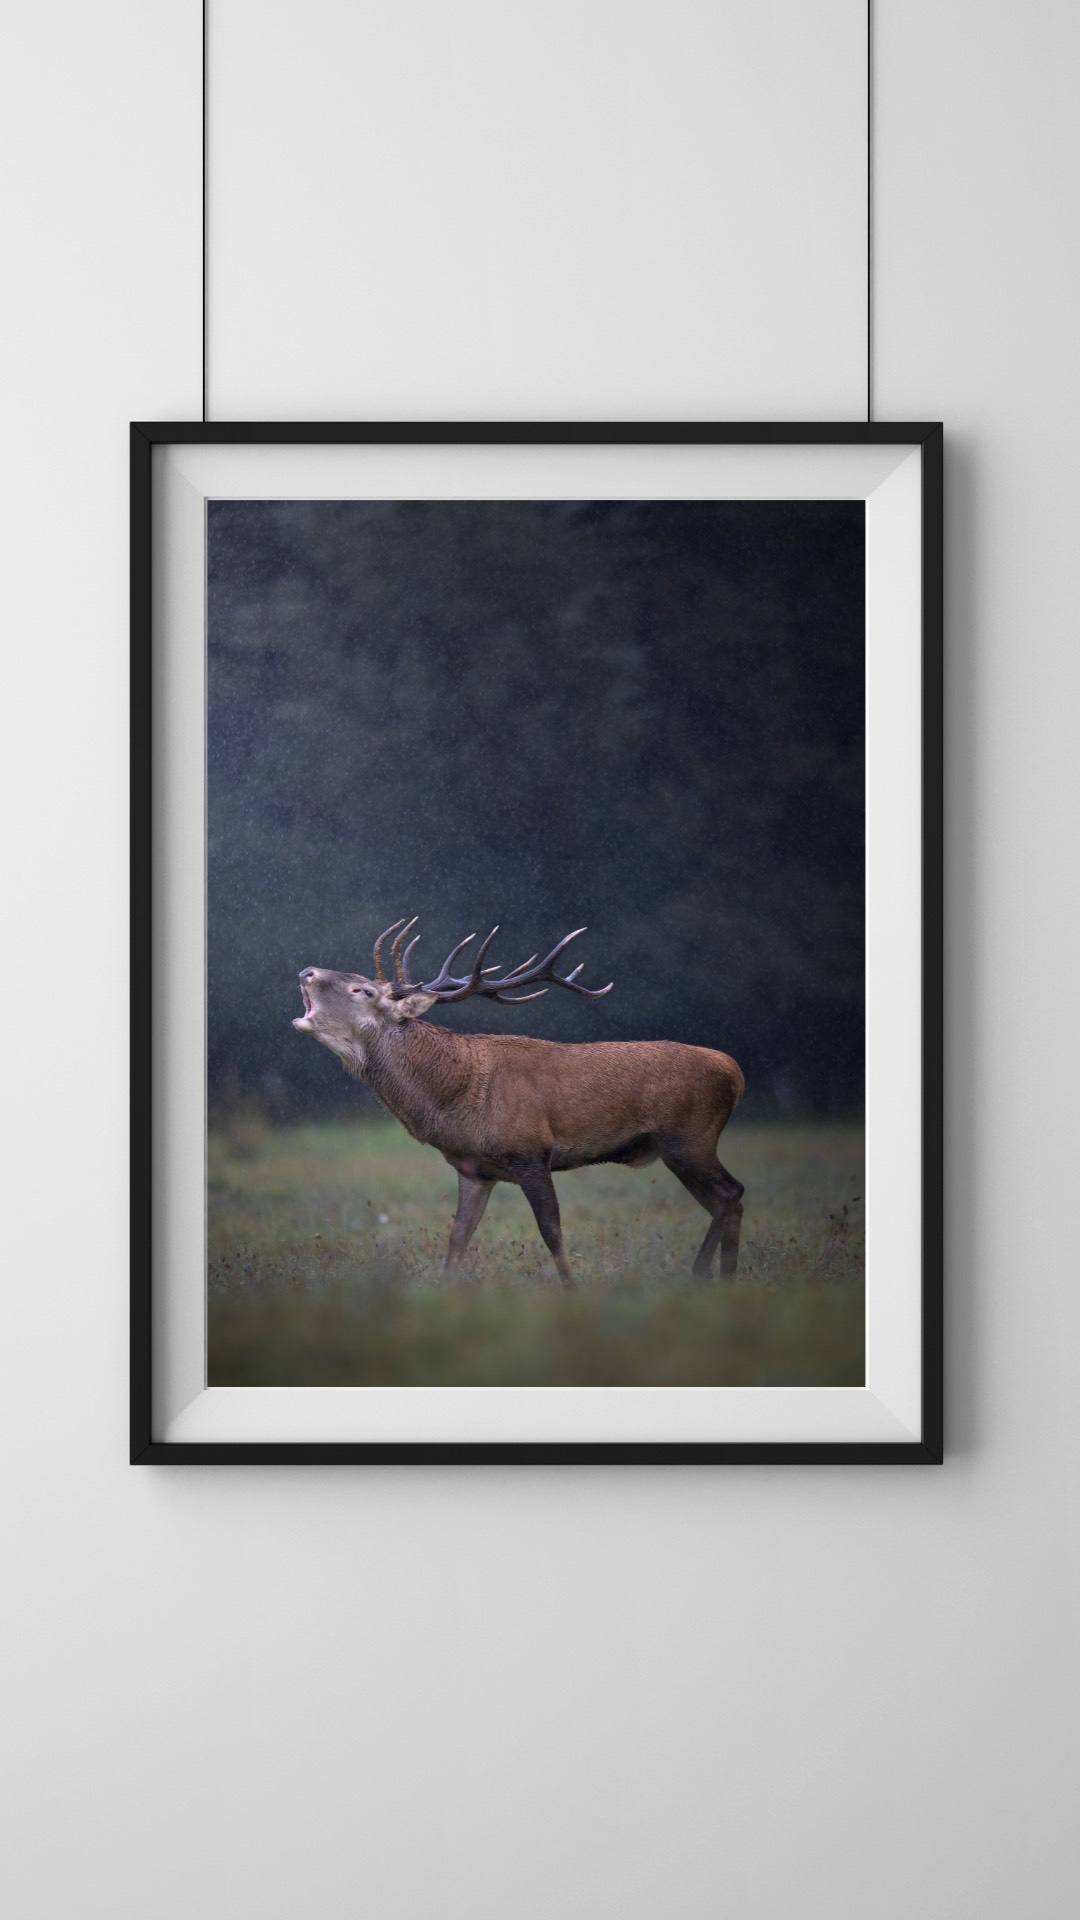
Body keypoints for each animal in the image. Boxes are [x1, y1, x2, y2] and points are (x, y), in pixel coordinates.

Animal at [292, 918, 746, 1287]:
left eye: (362, 989)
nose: (306, 971)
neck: (455, 1097)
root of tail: (733, 1070)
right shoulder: (473, 1169)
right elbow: (458, 1238)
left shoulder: (530, 1153)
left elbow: (552, 1232)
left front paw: (571, 1291)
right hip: (682, 1147)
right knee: (729, 1199)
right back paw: (725, 1278)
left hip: (689, 1138)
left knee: (730, 1193)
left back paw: (702, 1274)